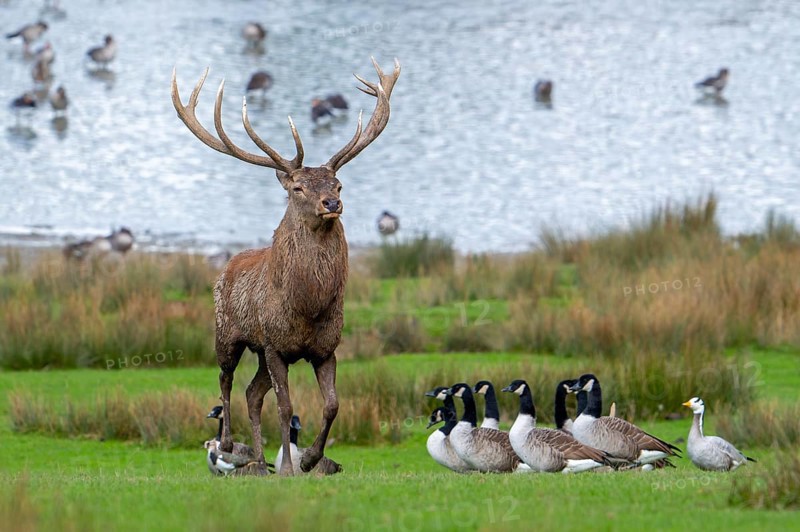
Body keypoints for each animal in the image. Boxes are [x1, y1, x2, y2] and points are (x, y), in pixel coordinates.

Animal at [171, 57, 400, 475]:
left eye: (338, 184)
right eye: (298, 187)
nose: (331, 203)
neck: (308, 305)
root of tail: (227, 265)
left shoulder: (324, 348)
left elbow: (332, 404)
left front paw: (310, 459)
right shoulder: (277, 345)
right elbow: (286, 405)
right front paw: (293, 468)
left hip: (261, 352)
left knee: (252, 392)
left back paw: (261, 462)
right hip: (227, 334)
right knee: (226, 379)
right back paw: (226, 443)